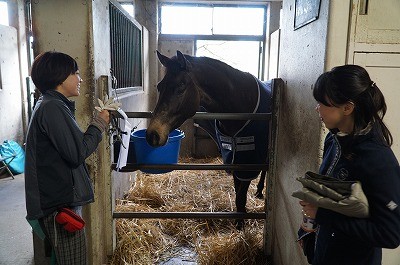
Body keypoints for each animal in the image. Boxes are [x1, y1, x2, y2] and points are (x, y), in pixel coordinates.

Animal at [145, 50, 274, 227]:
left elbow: (241, 197)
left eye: (181, 86)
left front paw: (240, 226)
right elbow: (237, 192)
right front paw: (239, 220)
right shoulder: (234, 159)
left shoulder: (249, 161)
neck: (241, 104)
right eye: (159, 86)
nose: (153, 134)